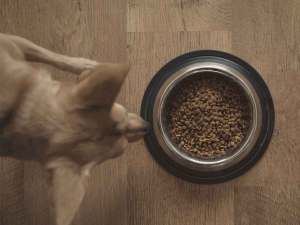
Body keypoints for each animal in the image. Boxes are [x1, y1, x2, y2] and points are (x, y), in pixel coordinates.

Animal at [0, 33, 149, 225]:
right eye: (121, 152)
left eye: (123, 112)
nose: (148, 127)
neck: (19, 107)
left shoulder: (14, 41)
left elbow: (50, 55)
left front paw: (86, 67)